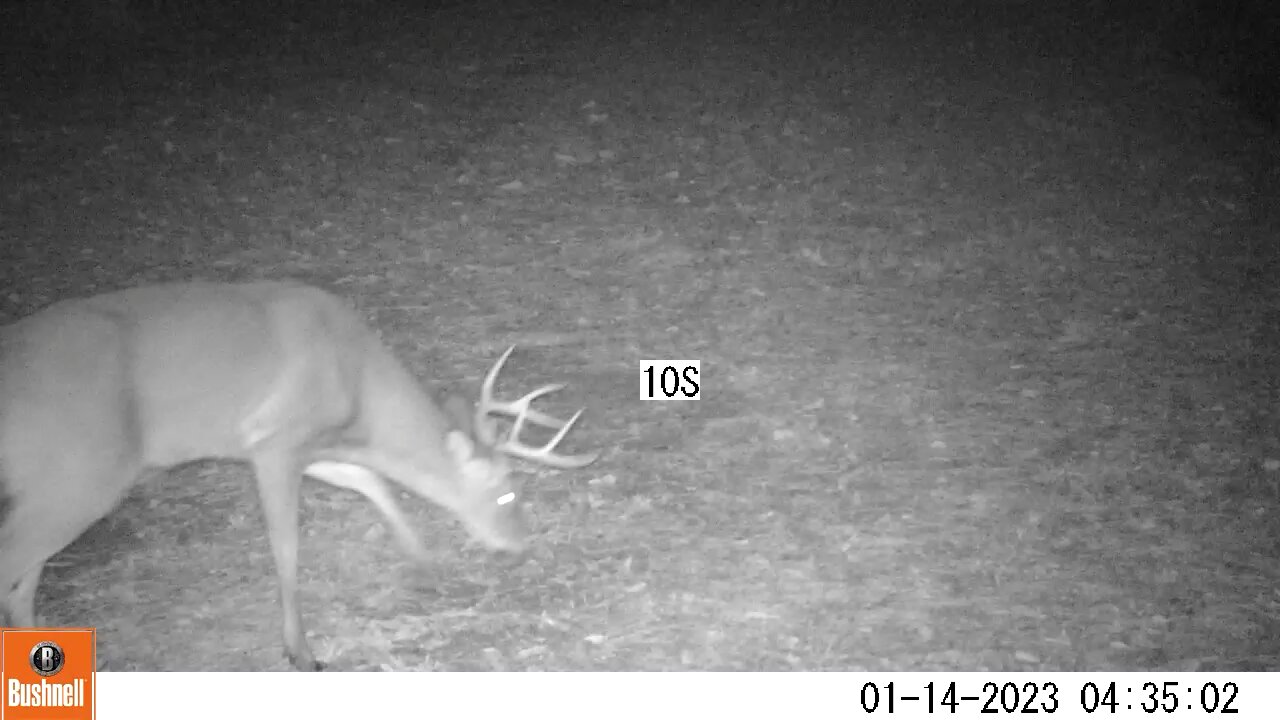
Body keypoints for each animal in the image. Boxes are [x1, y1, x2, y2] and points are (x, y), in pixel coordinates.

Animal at [0, 280, 597, 670]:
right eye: (506, 494)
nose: (521, 545)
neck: (357, 386)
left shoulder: (316, 444)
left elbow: (373, 482)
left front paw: (426, 562)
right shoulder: (273, 440)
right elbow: (286, 548)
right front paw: (301, 651)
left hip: (55, 486)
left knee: (21, 584)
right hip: (81, 474)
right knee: (15, 562)